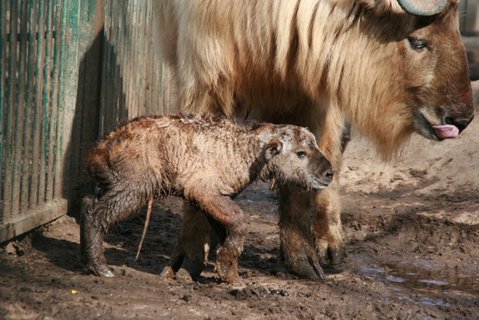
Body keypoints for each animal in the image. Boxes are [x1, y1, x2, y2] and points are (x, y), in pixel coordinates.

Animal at [80, 113, 334, 282]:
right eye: (301, 153)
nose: (329, 173)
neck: (245, 148)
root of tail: (99, 150)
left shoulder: (212, 197)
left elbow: (224, 227)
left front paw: (228, 270)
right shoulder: (204, 190)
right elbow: (238, 219)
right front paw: (228, 270)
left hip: (112, 182)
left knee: (87, 203)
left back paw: (86, 258)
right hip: (133, 186)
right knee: (96, 215)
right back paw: (100, 267)